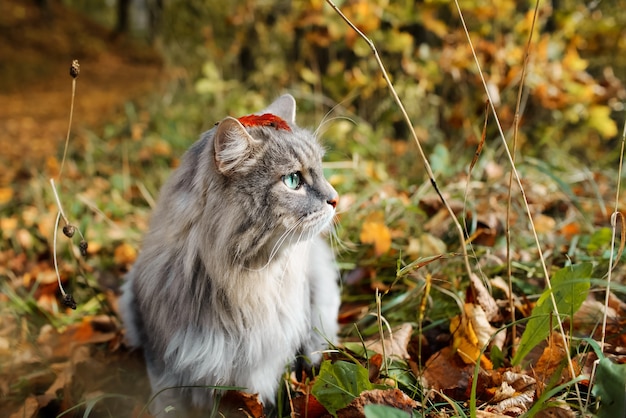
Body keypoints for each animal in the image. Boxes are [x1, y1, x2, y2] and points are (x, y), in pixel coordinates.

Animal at [119, 94, 338, 414]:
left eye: (320, 170)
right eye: (293, 181)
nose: (336, 199)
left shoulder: (264, 370)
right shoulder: (165, 366)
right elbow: (168, 407)